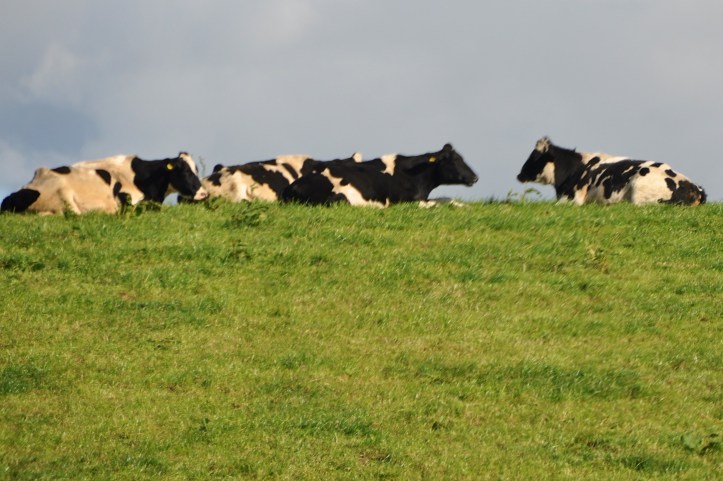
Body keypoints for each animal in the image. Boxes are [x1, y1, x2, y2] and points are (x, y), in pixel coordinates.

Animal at [281, 143, 478, 207]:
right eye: (454, 160)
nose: (475, 177)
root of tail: (292, 186)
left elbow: (446, 199)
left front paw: (464, 206)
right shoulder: (405, 201)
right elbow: (434, 205)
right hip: (339, 198)